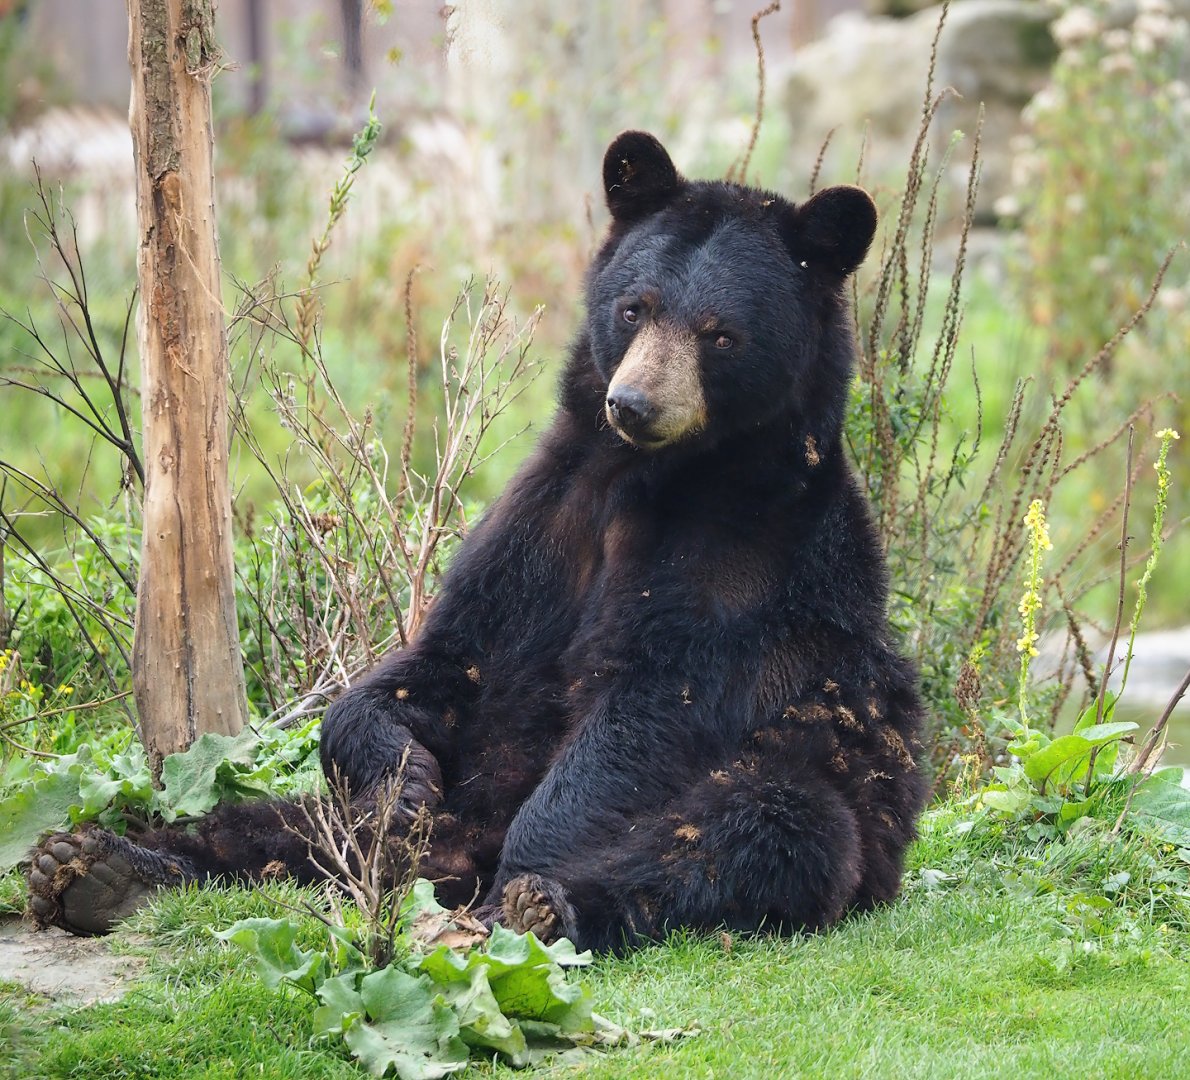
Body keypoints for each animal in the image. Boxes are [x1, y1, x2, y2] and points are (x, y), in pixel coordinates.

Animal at [27, 131, 927, 952]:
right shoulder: (548, 519)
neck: (650, 479)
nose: (633, 403)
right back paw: (101, 866)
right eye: (634, 307)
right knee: (287, 830)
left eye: (721, 334)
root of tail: (457, 861)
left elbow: (649, 711)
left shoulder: (745, 563)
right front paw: (403, 780)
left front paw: (534, 870)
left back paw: (536, 905)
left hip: (838, 790)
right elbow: (447, 658)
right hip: (418, 812)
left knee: (759, 831)